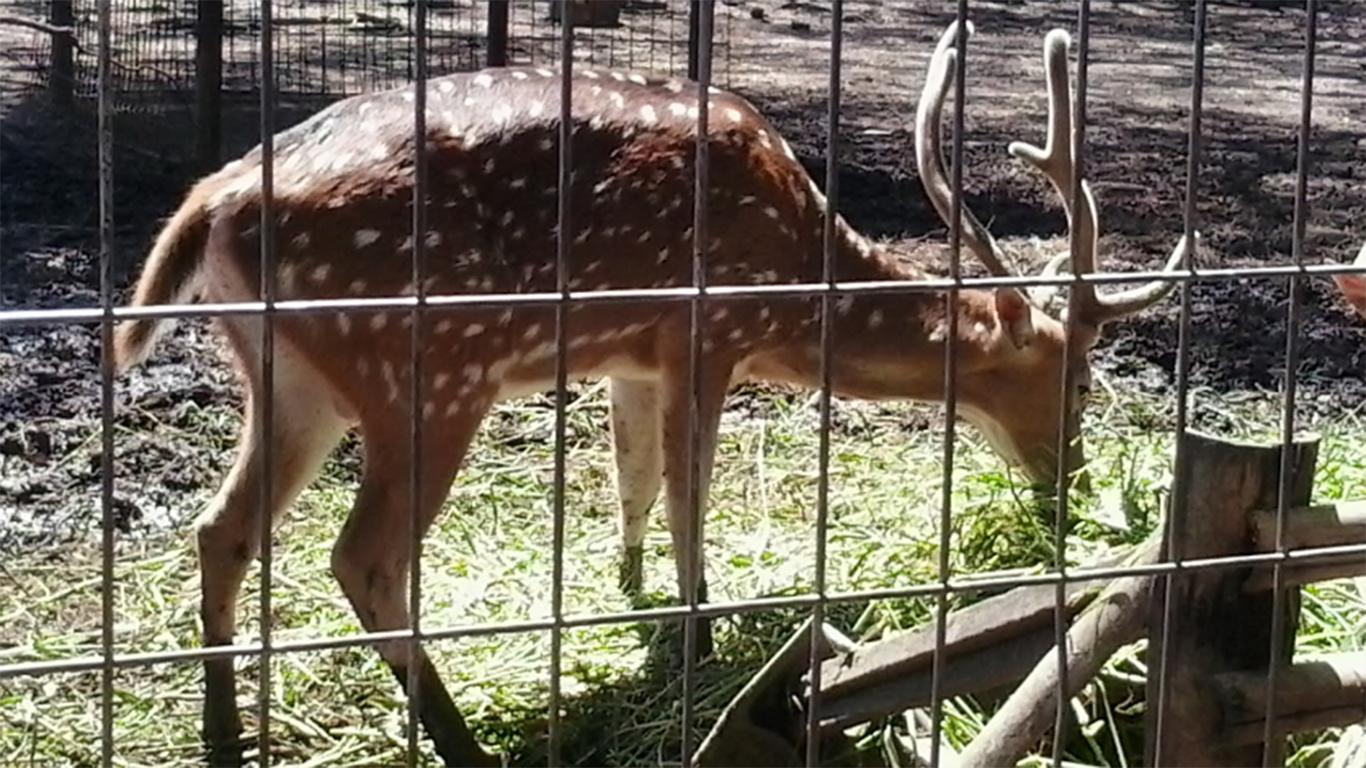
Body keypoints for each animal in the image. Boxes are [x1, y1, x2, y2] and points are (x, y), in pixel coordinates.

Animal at [114, 19, 1185, 765]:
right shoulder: (703, 332)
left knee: (222, 528)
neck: (793, 292)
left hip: (293, 380)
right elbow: (685, 497)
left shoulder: (628, 355)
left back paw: (223, 731)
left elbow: (629, 482)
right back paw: (460, 741)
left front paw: (629, 599)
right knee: (364, 558)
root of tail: (215, 203)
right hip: (423, 369)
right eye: (1080, 382)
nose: (1070, 488)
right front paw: (701, 636)